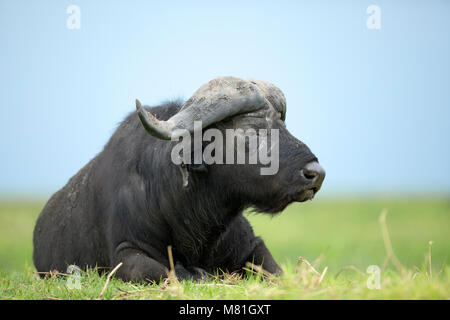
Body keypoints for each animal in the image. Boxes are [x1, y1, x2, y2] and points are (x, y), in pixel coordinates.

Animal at [33, 77, 326, 282]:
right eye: (251, 131)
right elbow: (166, 272)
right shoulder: (125, 254)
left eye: (282, 125)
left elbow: (273, 271)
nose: (316, 173)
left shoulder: (252, 244)